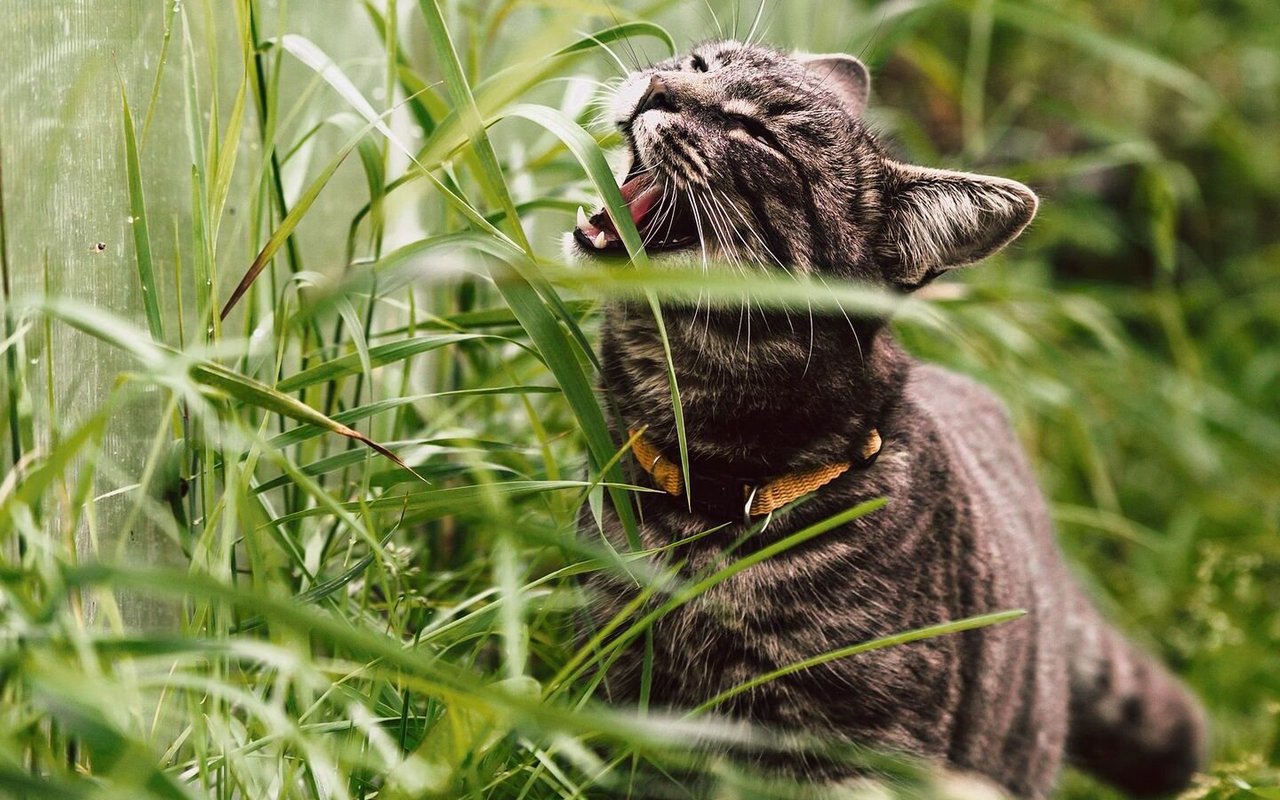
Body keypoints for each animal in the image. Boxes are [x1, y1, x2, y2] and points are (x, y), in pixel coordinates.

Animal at [570, 42, 1208, 798]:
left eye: (759, 134)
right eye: (699, 62)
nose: (659, 88)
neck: (715, 491)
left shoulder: (861, 753)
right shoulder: (610, 693)